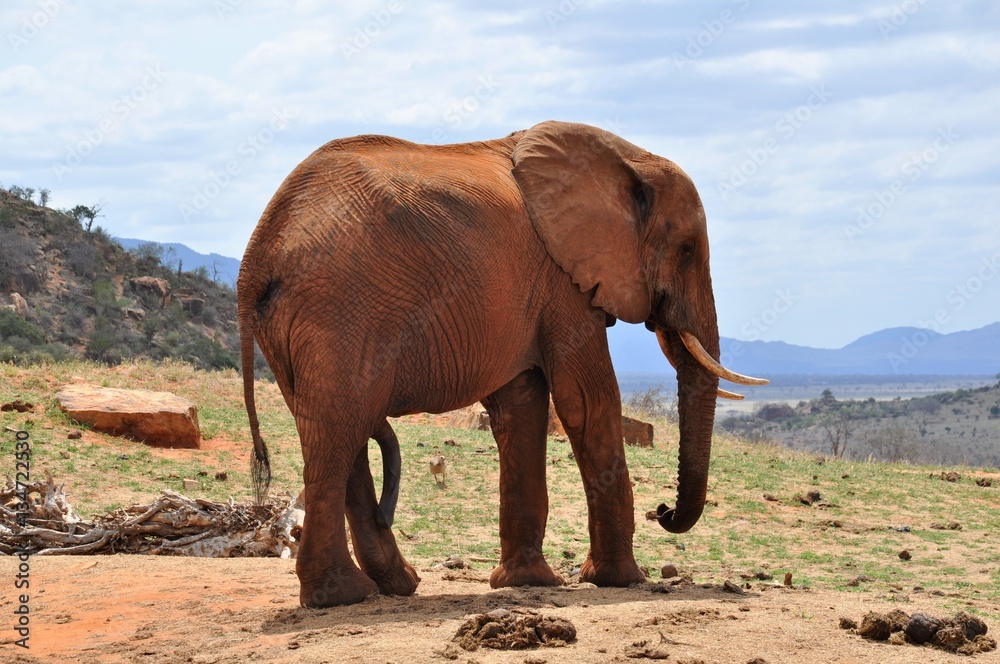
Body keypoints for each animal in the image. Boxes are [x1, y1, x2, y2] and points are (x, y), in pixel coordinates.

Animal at [238, 120, 767, 608]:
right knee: (337, 434)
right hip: (340, 315)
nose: (665, 511)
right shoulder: (561, 278)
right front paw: (620, 580)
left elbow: (522, 407)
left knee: (332, 433)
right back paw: (341, 596)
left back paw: (394, 587)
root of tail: (255, 258)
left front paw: (527, 583)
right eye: (687, 250)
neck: (628, 157)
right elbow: (587, 400)